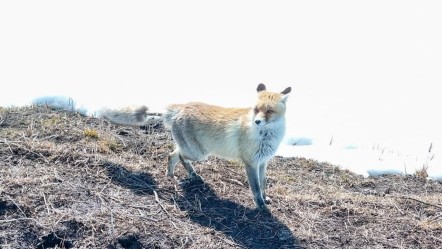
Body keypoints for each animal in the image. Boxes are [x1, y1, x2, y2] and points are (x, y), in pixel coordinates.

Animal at [102, 83, 292, 210]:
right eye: (256, 109)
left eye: (269, 111)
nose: (257, 121)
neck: (266, 136)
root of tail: (181, 106)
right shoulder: (250, 163)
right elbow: (256, 188)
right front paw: (261, 206)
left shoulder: (263, 162)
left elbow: (263, 183)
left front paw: (265, 199)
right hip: (199, 153)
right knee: (177, 156)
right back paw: (190, 175)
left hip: (194, 150)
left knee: (173, 154)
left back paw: (172, 175)